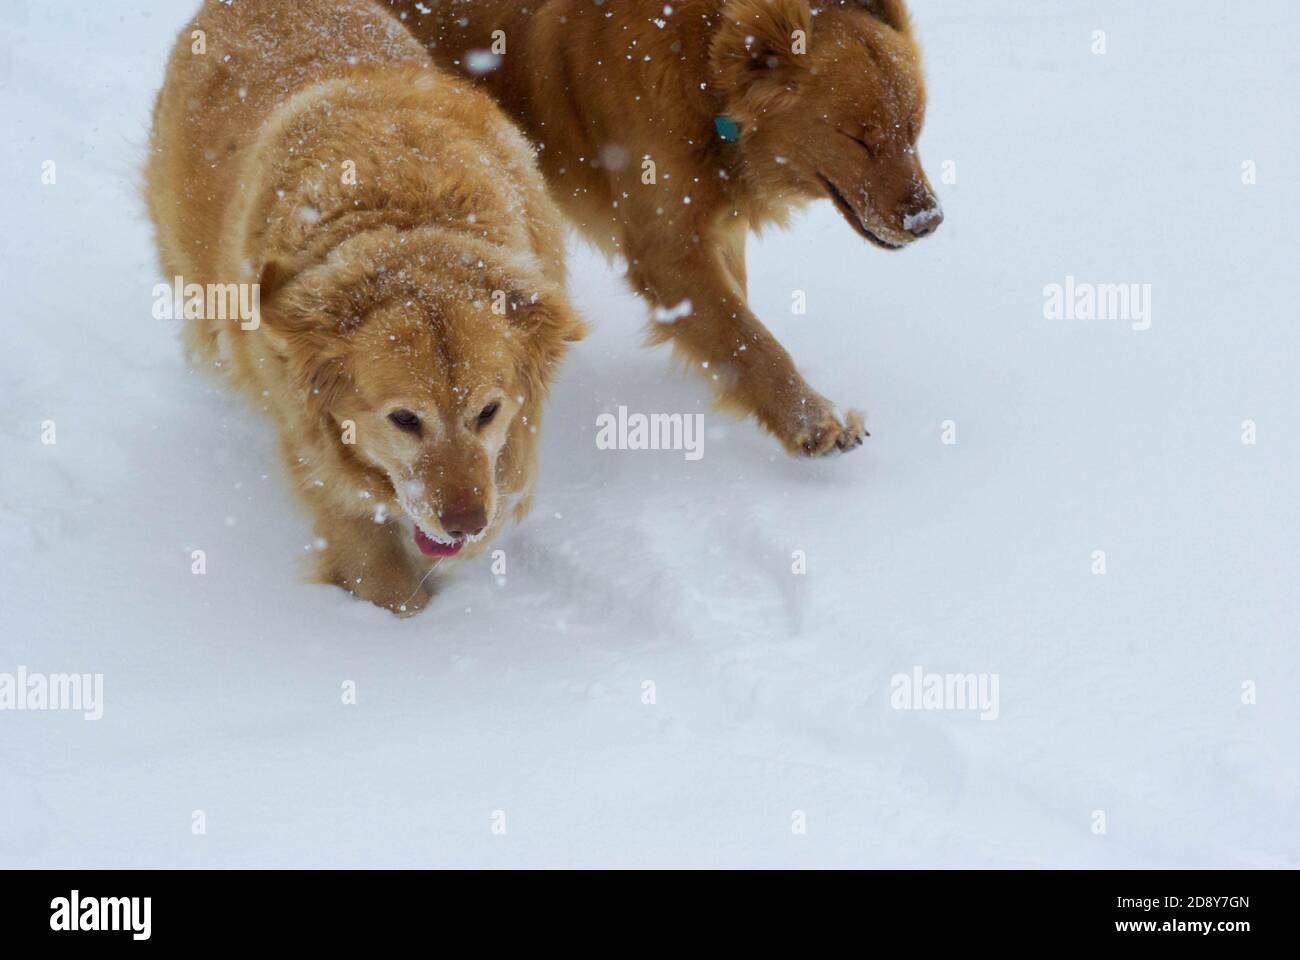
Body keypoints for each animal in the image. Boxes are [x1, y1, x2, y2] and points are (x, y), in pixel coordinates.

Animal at [146, 0, 585, 613]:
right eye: (404, 419)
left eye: (488, 412)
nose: (465, 523)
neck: (407, 217)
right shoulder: (313, 448)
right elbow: (376, 569)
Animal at [384, 0, 946, 455]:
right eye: (859, 139)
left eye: (913, 130)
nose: (929, 220)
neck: (702, 69)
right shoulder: (667, 251)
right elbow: (750, 339)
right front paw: (809, 419)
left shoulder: (715, 229)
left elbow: (736, 322)